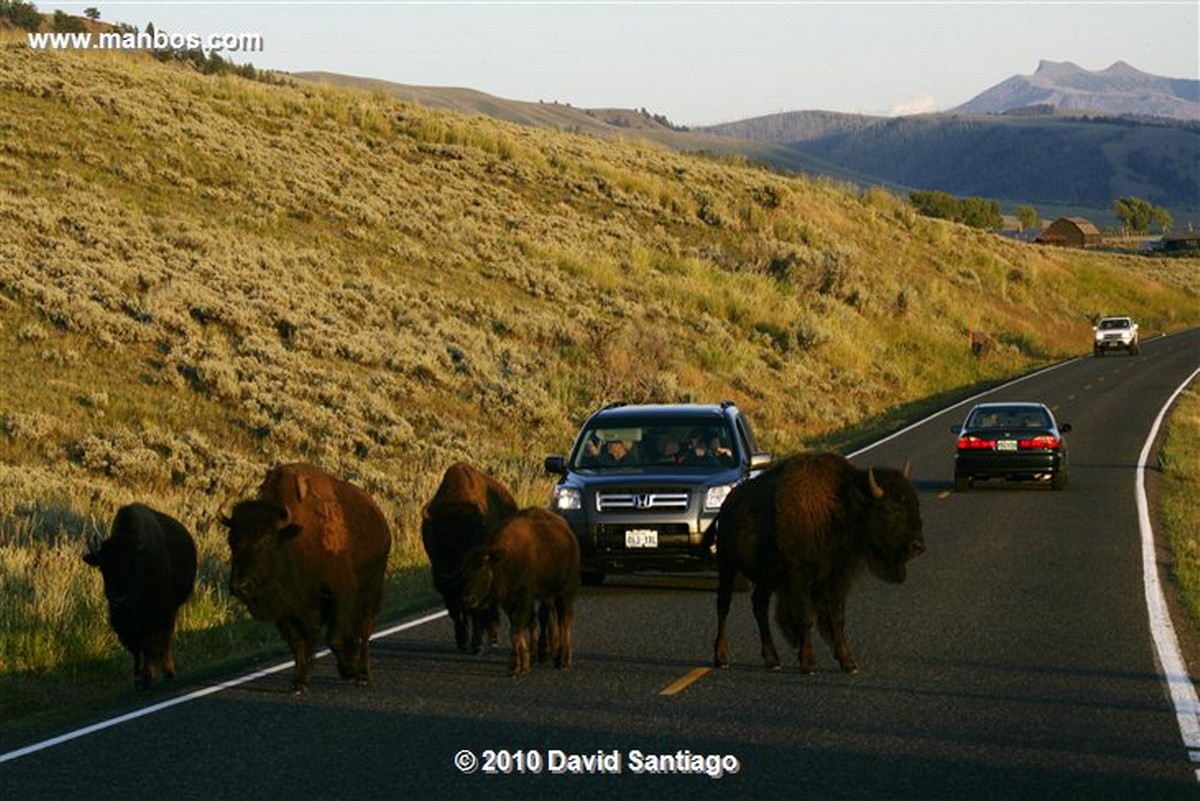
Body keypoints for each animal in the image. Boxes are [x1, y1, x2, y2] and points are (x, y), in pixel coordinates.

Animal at [84, 506, 198, 690]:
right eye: (103, 567)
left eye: (133, 565)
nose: (121, 600)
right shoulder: (124, 624)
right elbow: (136, 648)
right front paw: (138, 679)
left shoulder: (156, 612)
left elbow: (148, 643)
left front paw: (147, 677)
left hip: (171, 610)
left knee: (165, 639)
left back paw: (168, 671)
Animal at [223, 462, 391, 695]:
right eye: (231, 541)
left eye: (266, 540)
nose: (240, 586)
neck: (291, 538)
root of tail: (378, 516)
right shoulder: (288, 609)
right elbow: (299, 644)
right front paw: (299, 683)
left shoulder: (340, 593)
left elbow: (335, 637)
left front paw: (347, 670)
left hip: (372, 587)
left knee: (366, 628)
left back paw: (363, 674)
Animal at [422, 462, 516, 652]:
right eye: (434, 539)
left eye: (467, 541)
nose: (450, 575)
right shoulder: (445, 585)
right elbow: (455, 611)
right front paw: (462, 641)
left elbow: (475, 609)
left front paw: (476, 644)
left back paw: (492, 637)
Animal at [460, 506, 578, 676]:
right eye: (464, 573)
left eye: (483, 570)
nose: (468, 599)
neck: (505, 559)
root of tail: (568, 532)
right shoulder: (509, 602)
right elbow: (518, 628)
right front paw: (524, 663)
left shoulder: (524, 598)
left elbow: (515, 630)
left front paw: (513, 667)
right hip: (549, 595)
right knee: (552, 617)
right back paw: (554, 656)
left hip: (566, 592)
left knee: (566, 620)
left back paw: (564, 660)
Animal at [710, 453, 926, 671]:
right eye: (891, 509)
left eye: (915, 505)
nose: (918, 546)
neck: (839, 506)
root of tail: (727, 505)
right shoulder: (799, 578)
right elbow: (806, 617)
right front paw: (808, 663)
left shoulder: (836, 578)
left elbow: (837, 617)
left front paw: (848, 662)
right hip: (727, 566)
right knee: (723, 605)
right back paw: (721, 658)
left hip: (767, 578)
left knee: (759, 604)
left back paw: (772, 660)